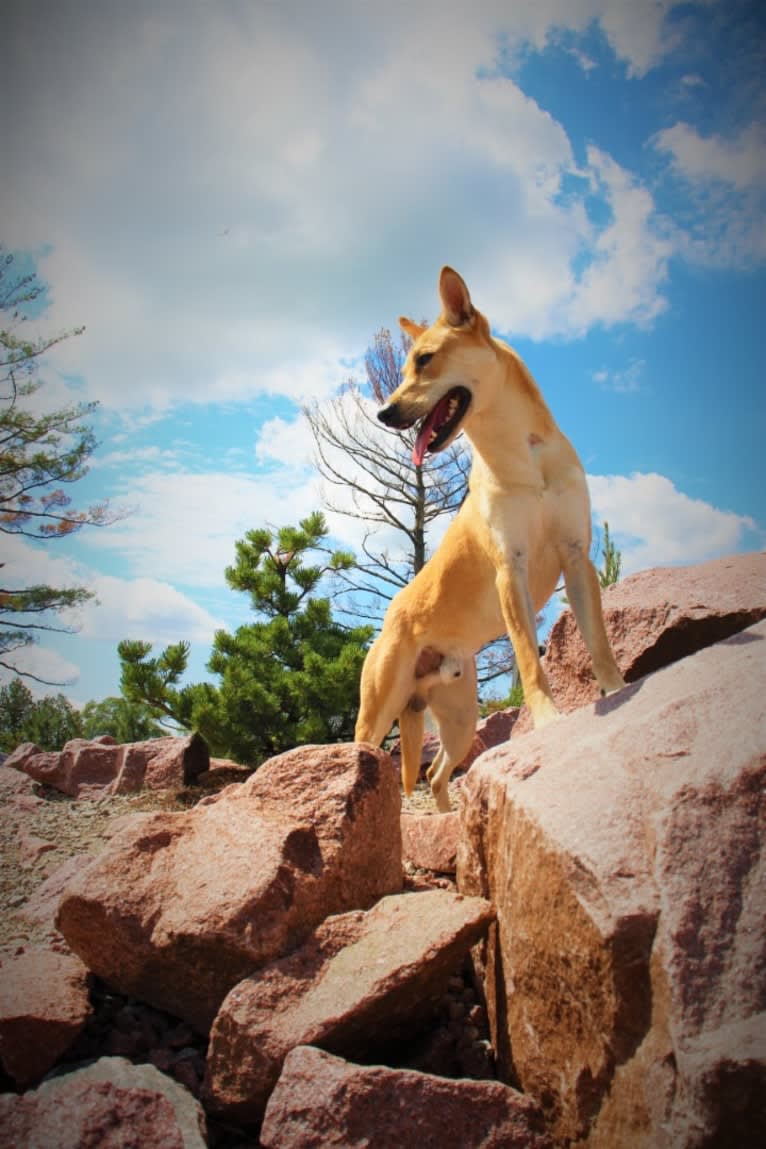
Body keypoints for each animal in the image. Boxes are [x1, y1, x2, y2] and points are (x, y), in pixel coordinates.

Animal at [356, 265, 624, 813]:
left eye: (424, 360)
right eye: (407, 366)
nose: (385, 414)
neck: (524, 451)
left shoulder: (576, 558)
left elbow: (598, 641)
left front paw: (616, 688)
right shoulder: (509, 569)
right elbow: (529, 660)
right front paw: (548, 720)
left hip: (458, 720)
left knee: (435, 773)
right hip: (377, 714)